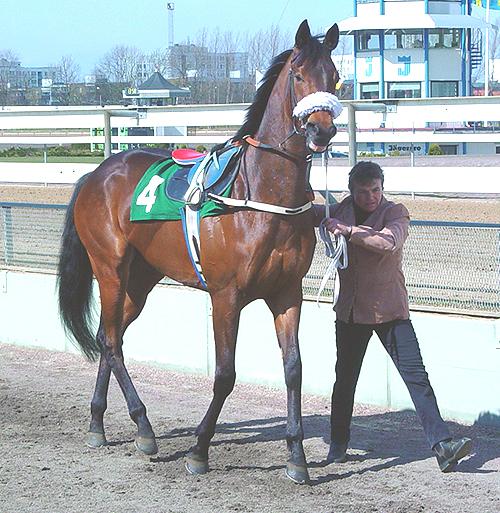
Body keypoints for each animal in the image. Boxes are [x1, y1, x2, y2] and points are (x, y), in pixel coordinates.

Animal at [57, 19, 340, 484]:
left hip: (141, 279)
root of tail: (95, 174)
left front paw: (296, 456)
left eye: (334, 77)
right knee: (111, 341)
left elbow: (294, 370)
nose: (322, 130)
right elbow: (225, 374)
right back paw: (144, 427)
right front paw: (199, 449)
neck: (259, 197)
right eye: (299, 75)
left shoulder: (287, 293)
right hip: (110, 268)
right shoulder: (226, 297)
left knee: (107, 336)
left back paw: (98, 422)